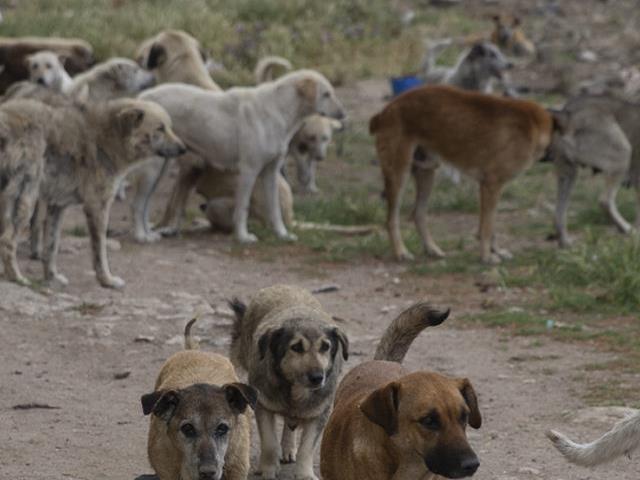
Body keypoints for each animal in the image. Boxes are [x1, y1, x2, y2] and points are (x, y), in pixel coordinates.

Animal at [229, 284, 350, 480]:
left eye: (325, 346)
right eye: (296, 347)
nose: (318, 377)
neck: (295, 391)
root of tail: (282, 285)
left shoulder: (320, 414)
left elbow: (307, 448)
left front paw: (305, 474)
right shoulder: (263, 406)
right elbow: (270, 443)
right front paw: (268, 470)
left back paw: (288, 447)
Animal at [370, 86, 556, 266]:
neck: (534, 124)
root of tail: (386, 110)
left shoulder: (491, 188)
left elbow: (490, 225)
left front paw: (496, 251)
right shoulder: (491, 185)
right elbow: (487, 228)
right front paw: (486, 257)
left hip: (427, 173)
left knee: (418, 214)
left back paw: (432, 249)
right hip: (399, 174)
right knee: (391, 220)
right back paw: (401, 252)